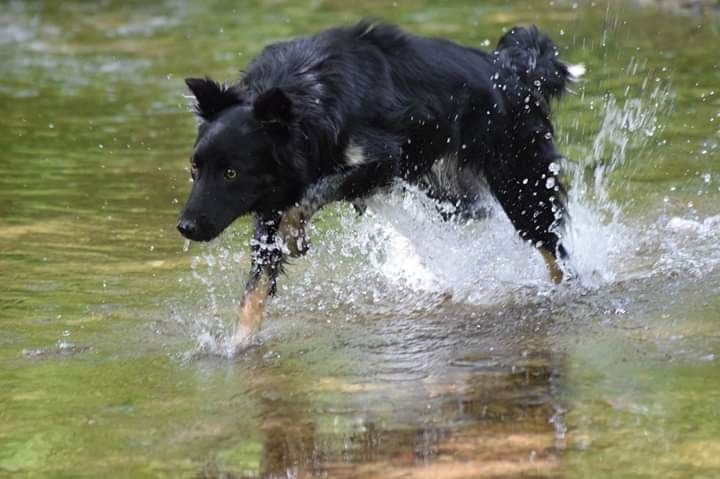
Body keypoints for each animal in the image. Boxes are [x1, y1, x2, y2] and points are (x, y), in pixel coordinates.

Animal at [179, 19, 580, 342]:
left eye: (231, 173)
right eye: (194, 169)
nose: (186, 227)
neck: (310, 95)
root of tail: (513, 69)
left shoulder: (383, 160)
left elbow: (322, 188)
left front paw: (295, 228)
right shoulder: (272, 194)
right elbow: (256, 285)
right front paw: (237, 344)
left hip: (522, 188)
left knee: (554, 249)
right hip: (452, 196)